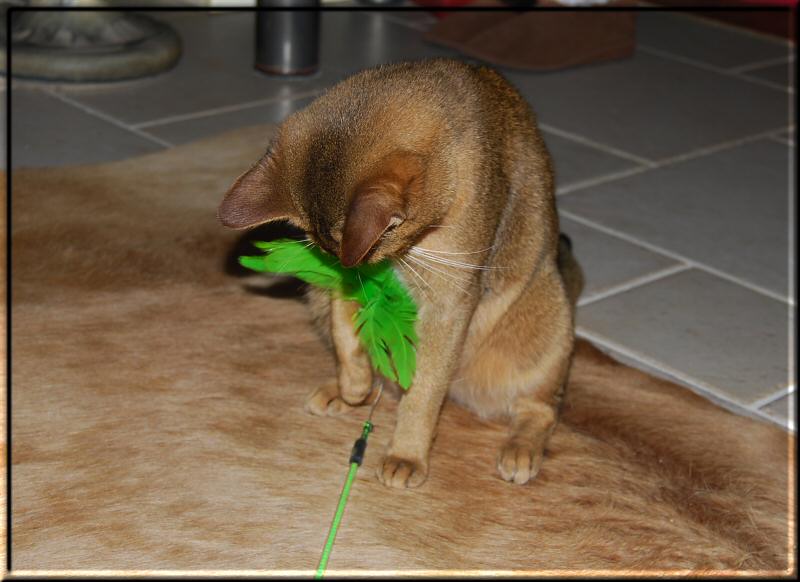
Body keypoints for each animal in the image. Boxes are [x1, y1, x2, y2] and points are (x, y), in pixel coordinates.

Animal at [217, 58, 580, 488]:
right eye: (327, 254)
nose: (355, 267)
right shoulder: (343, 278)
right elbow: (345, 327)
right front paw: (352, 382)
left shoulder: (449, 302)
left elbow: (424, 389)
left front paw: (406, 454)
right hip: (316, 298)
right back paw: (346, 391)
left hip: (546, 326)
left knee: (541, 408)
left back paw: (520, 450)